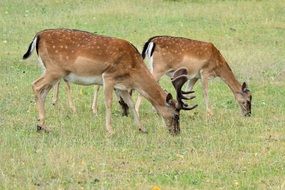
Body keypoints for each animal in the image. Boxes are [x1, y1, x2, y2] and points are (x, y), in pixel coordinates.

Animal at [22, 28, 196, 135]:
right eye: (176, 115)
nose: (176, 132)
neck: (133, 70)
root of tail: (37, 36)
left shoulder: (122, 86)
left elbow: (130, 104)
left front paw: (142, 128)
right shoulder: (109, 77)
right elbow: (108, 103)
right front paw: (110, 130)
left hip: (51, 71)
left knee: (42, 91)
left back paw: (42, 125)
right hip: (55, 69)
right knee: (36, 85)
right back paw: (41, 125)